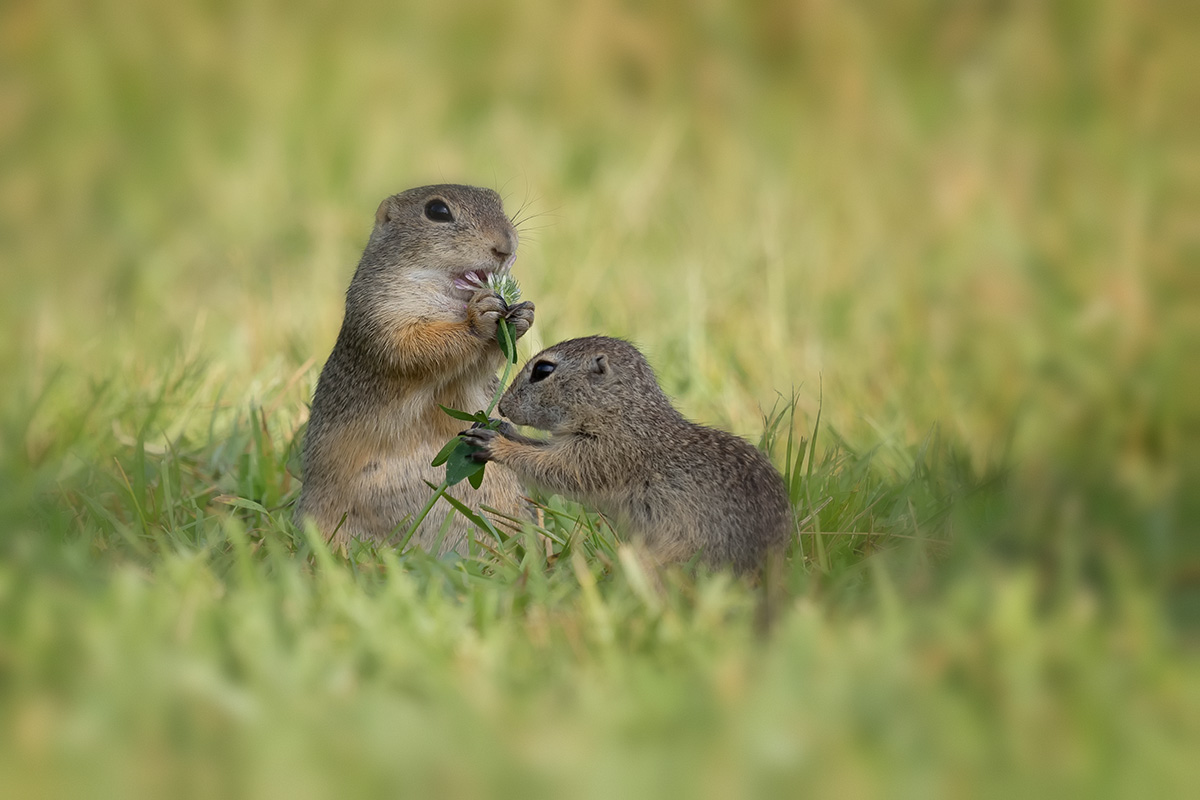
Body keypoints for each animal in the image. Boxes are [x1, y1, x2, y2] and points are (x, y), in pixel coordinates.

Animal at [294, 184, 530, 554]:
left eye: (498, 202)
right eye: (437, 211)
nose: (505, 246)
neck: (451, 298)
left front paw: (523, 315)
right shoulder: (382, 313)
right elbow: (413, 347)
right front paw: (479, 317)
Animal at [463, 335, 792, 573]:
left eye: (543, 370)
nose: (503, 406)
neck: (622, 412)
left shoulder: (603, 454)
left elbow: (553, 469)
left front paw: (496, 444)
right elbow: (539, 450)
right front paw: (503, 430)